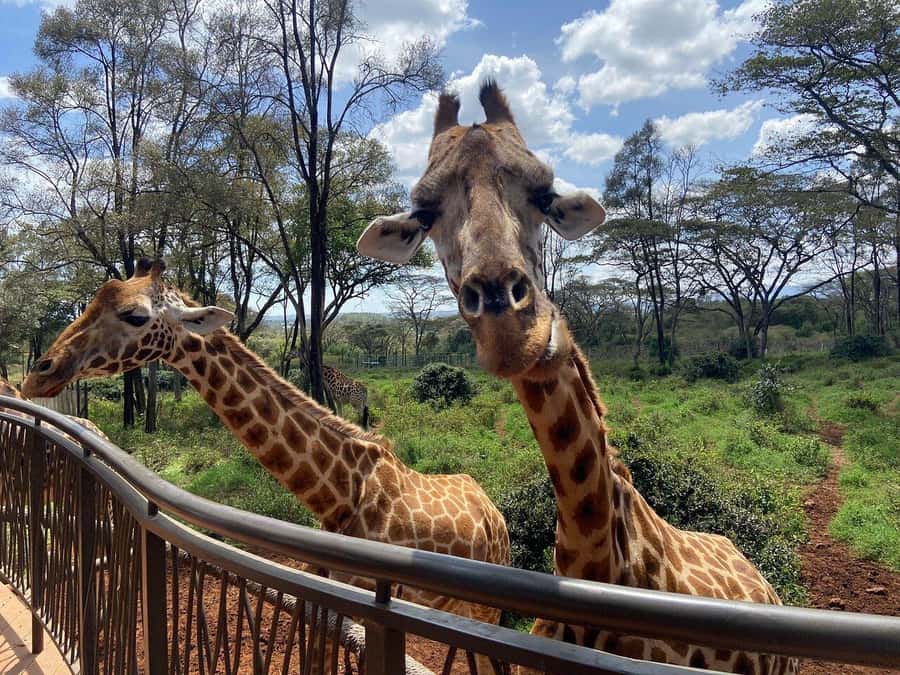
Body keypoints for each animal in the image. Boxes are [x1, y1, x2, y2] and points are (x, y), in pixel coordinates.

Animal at [21, 259, 510, 673]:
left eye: (135, 316)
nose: (38, 373)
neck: (338, 493)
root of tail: (494, 511)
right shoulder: (330, 600)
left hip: (486, 609)